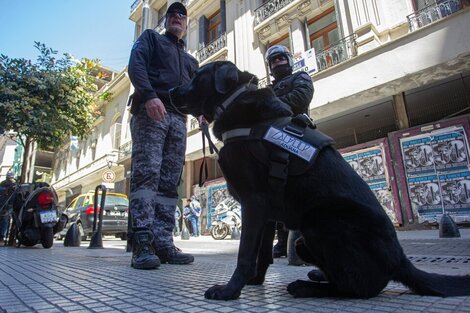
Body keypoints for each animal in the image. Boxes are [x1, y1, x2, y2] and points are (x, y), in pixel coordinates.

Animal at [171, 60, 470, 298]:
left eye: (196, 75)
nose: (172, 90)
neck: (234, 99)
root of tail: (400, 261)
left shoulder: (253, 202)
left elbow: (245, 254)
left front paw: (230, 291)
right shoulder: (267, 212)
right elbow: (263, 254)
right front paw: (255, 281)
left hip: (321, 222)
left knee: (358, 287)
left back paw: (306, 287)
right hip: (304, 239)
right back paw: (316, 276)